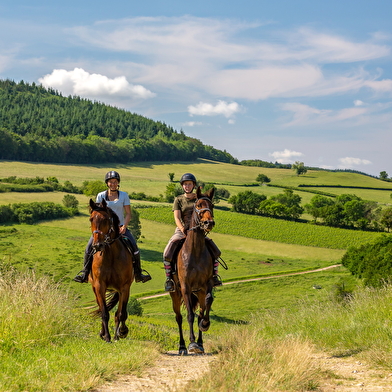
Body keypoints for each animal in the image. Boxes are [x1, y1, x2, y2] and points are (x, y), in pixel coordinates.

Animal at [88, 199, 134, 344]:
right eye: (91, 219)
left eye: (105, 219)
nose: (98, 245)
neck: (110, 254)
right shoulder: (99, 286)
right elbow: (104, 312)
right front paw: (107, 337)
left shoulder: (124, 288)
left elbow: (121, 313)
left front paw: (121, 333)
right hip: (94, 288)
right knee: (100, 307)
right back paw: (103, 333)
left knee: (119, 312)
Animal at [170, 187, 216, 356]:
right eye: (198, 206)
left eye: (212, 205)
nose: (209, 223)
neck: (195, 251)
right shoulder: (185, 287)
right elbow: (189, 315)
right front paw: (192, 343)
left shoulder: (206, 285)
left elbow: (206, 305)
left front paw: (205, 325)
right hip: (175, 294)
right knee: (178, 318)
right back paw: (182, 347)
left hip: (198, 292)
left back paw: (200, 342)